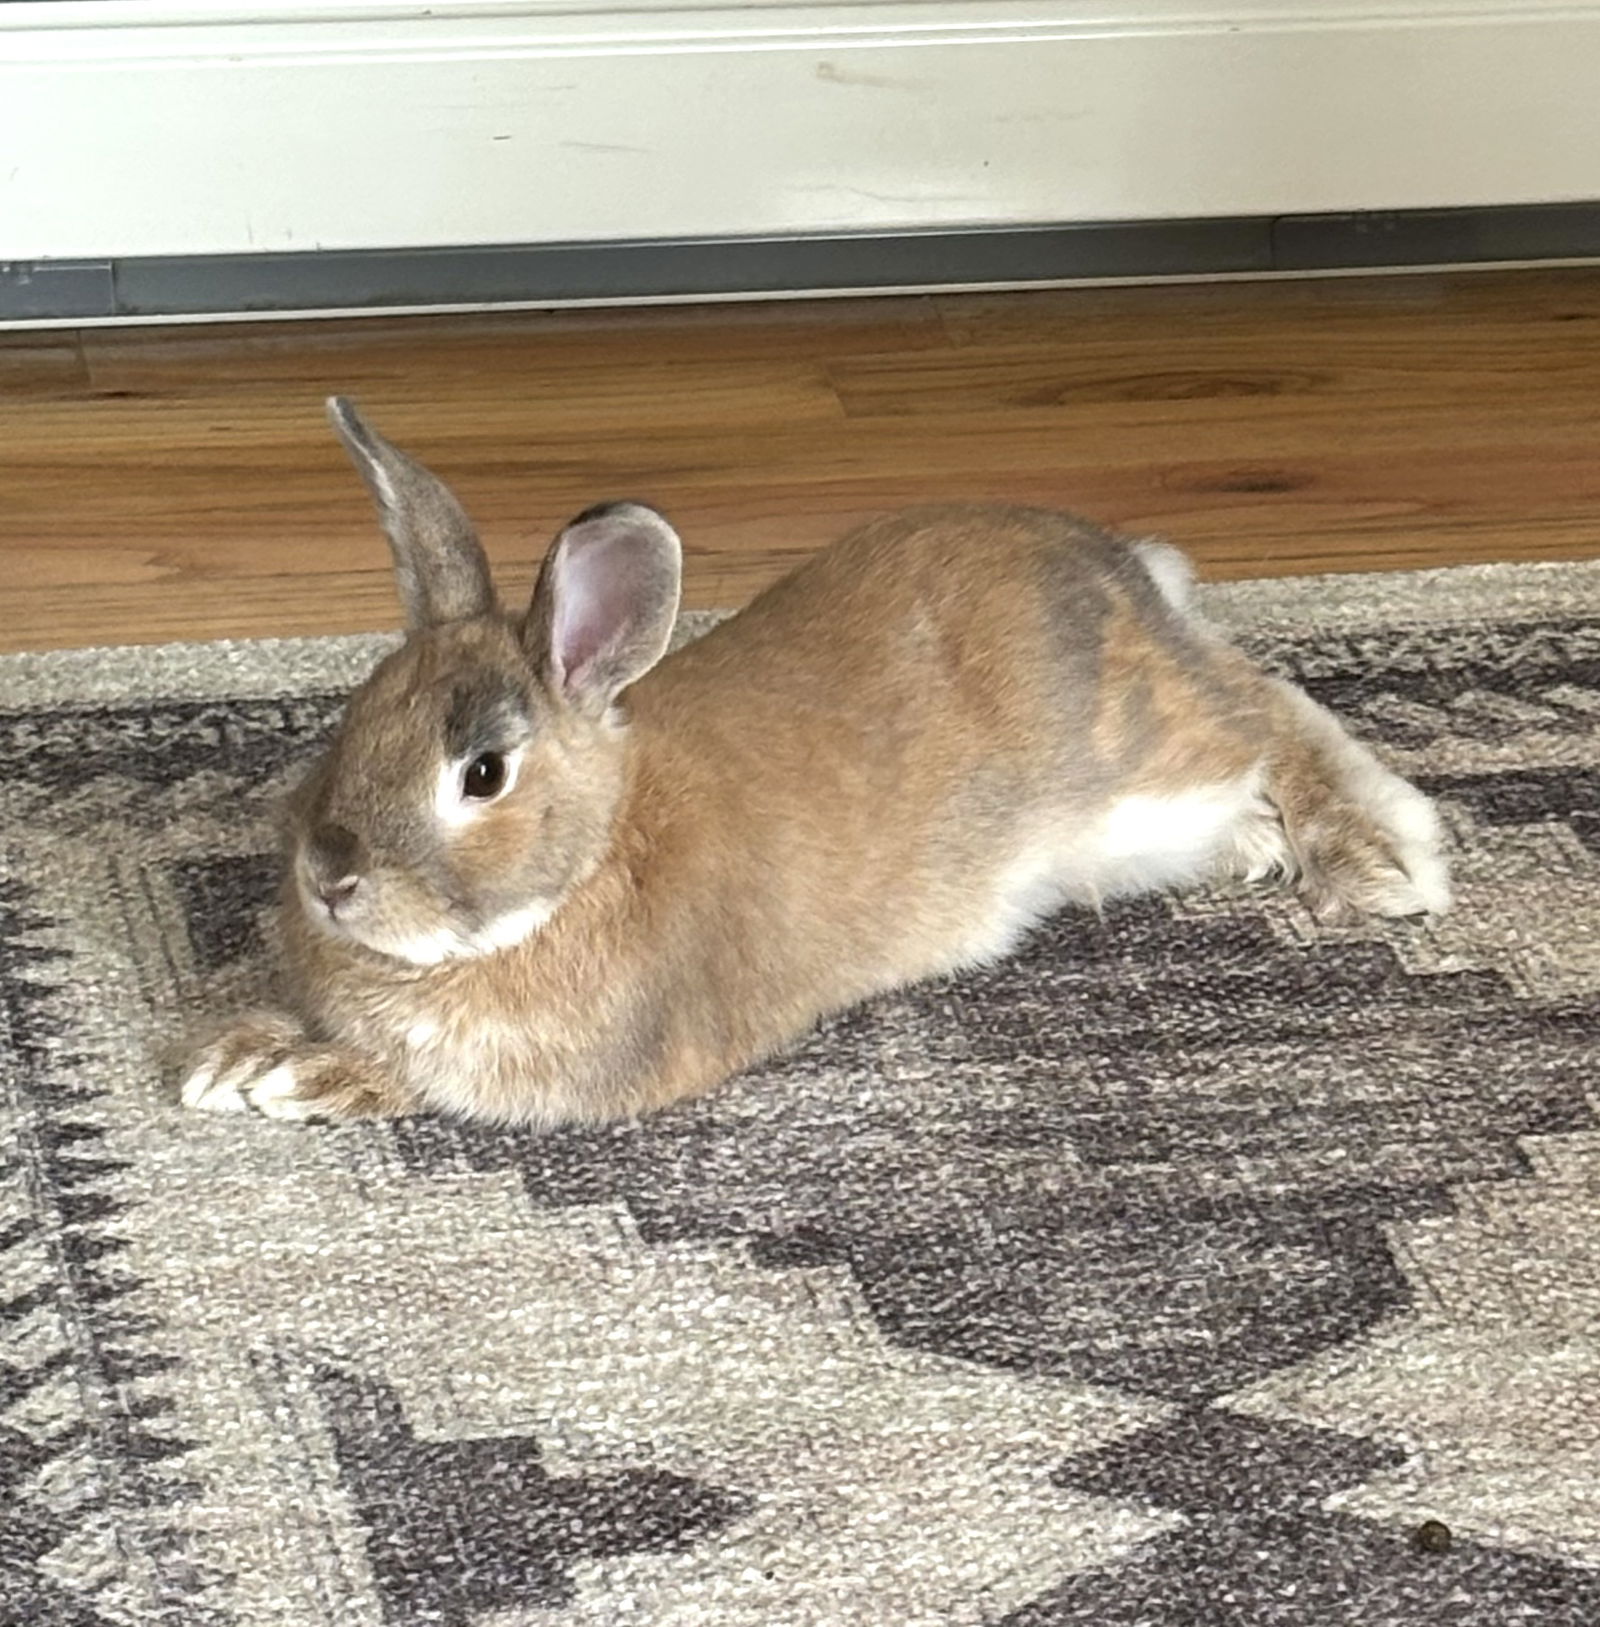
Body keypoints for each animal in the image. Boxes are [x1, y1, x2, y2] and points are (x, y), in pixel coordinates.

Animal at [180, 398, 1450, 1126]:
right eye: (359, 713)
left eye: (482, 773)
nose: (331, 880)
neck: (592, 862)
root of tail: (1117, 568)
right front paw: (235, 1053)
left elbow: (411, 1078)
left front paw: (287, 1077)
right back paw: (1258, 847)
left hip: (1140, 750)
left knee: (1266, 707)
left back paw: (1381, 858)